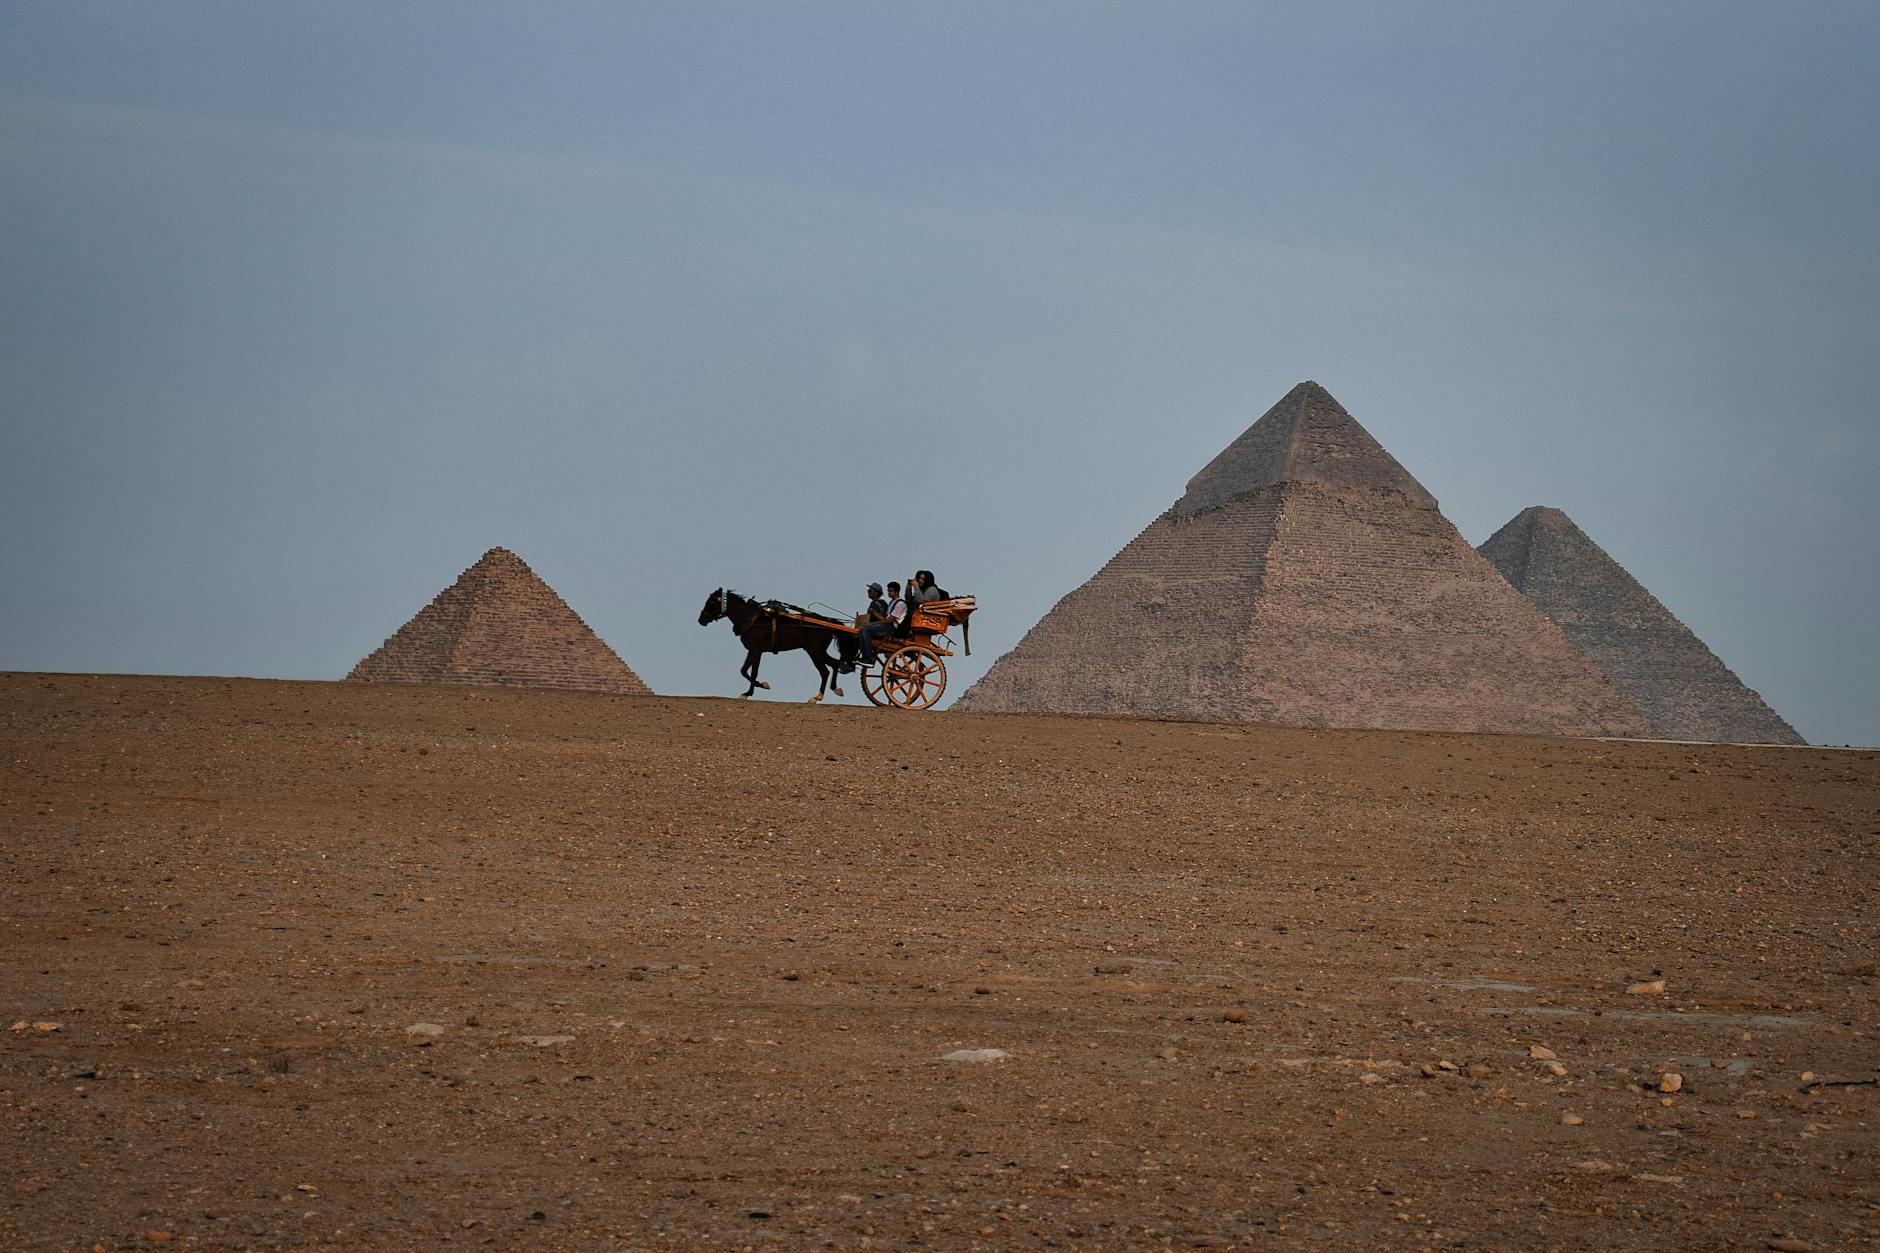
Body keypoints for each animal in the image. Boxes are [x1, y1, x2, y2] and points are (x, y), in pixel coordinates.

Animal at [699, 586, 853, 703]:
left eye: (711, 602)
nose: (701, 620)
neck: (751, 619)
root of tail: (827, 622)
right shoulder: (755, 650)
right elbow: (745, 670)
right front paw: (756, 688)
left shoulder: (756, 649)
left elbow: (750, 672)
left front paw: (751, 691)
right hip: (813, 651)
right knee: (828, 669)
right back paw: (821, 695)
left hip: (815, 650)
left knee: (832, 666)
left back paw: (827, 692)